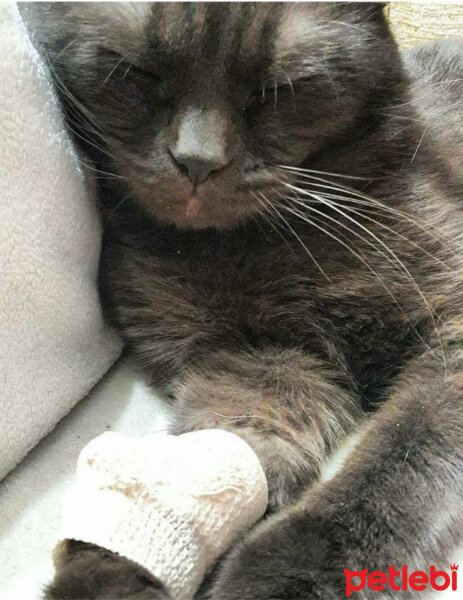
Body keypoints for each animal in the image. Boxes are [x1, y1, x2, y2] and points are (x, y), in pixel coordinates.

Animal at [22, 2, 463, 596]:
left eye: (275, 90)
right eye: (138, 73)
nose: (197, 161)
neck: (249, 248)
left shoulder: (451, 327)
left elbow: (398, 463)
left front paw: (293, 574)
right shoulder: (258, 365)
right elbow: (215, 459)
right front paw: (111, 571)